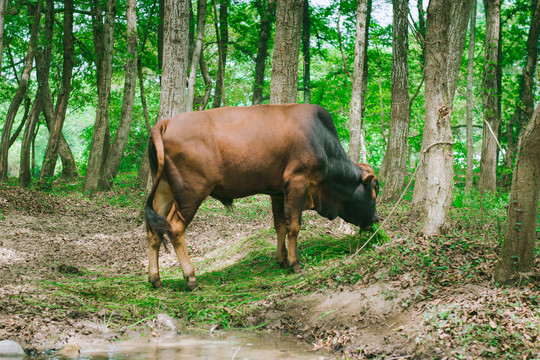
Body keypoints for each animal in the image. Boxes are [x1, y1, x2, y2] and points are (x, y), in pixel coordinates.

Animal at [144, 104, 380, 290]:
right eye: (374, 190)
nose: (376, 219)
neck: (320, 140)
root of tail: (165, 123)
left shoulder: (278, 193)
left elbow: (280, 225)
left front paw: (282, 260)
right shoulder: (298, 183)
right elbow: (294, 226)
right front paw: (295, 264)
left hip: (164, 191)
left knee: (154, 230)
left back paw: (156, 279)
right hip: (191, 195)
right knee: (175, 228)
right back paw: (191, 278)